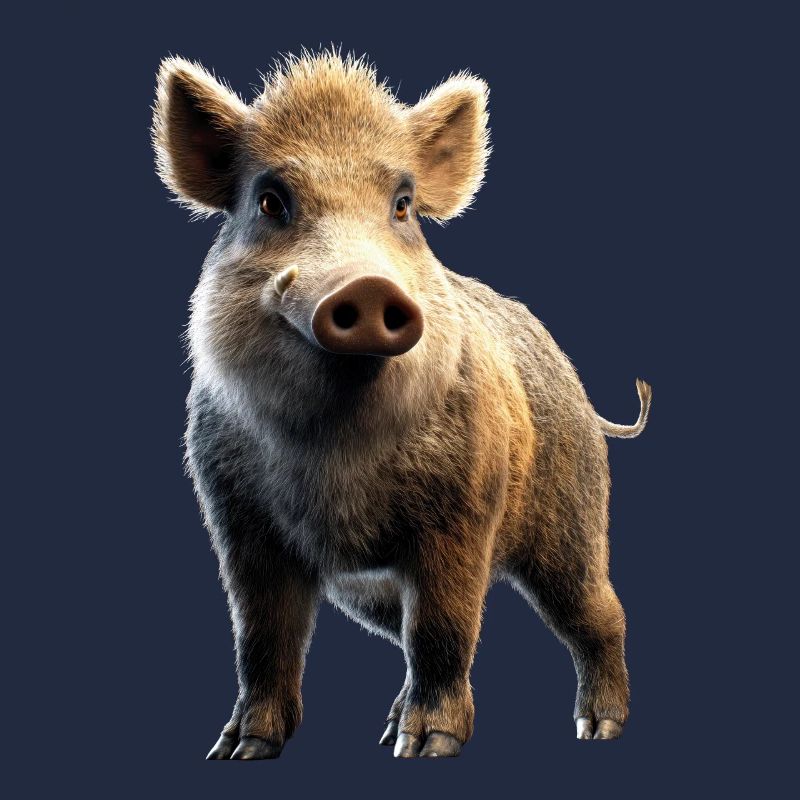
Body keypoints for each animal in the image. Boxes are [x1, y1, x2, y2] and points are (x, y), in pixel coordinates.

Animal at [152, 51, 652, 760]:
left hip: (571, 514)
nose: (365, 285)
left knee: (598, 612)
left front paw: (428, 749)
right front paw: (238, 752)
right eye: (270, 202)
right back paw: (388, 726)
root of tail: (581, 396)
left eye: (403, 206)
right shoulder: (235, 518)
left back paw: (598, 729)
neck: (335, 449)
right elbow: (261, 637)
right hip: (370, 588)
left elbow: (442, 627)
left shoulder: (462, 510)